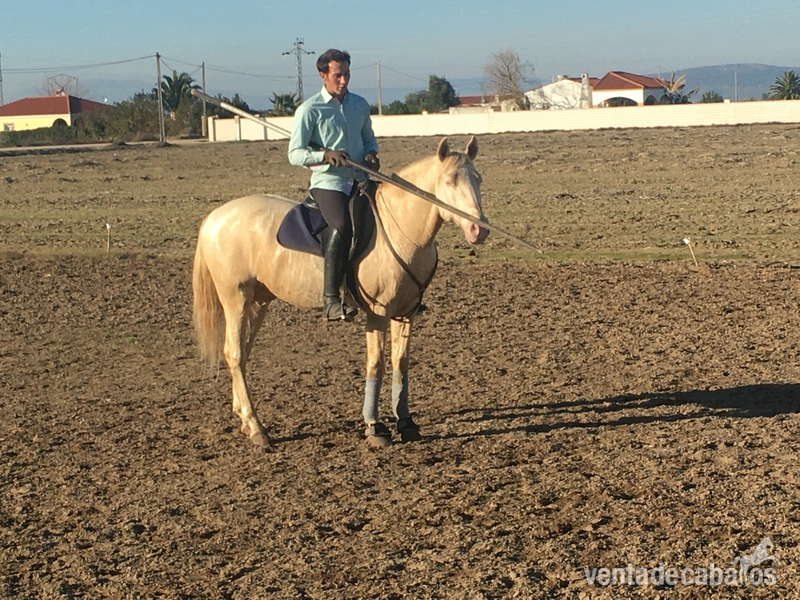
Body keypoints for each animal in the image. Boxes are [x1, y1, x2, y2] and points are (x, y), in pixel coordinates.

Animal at [191, 136, 489, 449]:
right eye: (449, 180)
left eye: (478, 178)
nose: (478, 230)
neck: (400, 229)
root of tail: (215, 217)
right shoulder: (378, 314)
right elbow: (375, 365)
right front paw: (374, 427)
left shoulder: (406, 314)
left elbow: (401, 363)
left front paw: (406, 423)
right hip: (235, 299)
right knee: (234, 353)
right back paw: (256, 427)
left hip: (258, 302)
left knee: (241, 354)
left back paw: (244, 418)